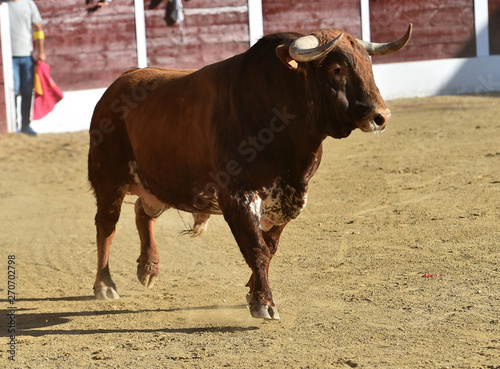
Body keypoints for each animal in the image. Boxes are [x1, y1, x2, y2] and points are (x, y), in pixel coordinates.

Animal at [88, 25, 412, 320]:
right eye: (336, 68)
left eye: (368, 64)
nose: (381, 116)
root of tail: (118, 83)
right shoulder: (237, 196)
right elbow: (257, 248)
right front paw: (263, 303)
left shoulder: (290, 198)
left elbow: (270, 247)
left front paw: (252, 289)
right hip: (109, 179)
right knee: (107, 225)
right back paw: (104, 285)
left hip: (162, 185)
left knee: (143, 212)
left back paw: (148, 268)